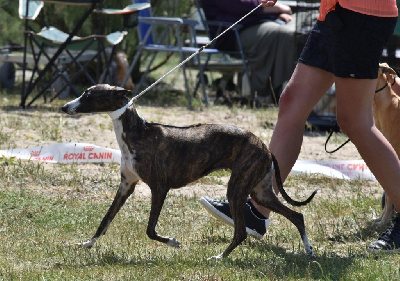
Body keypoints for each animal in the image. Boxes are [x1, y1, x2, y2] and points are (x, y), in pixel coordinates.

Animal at [61, 83, 318, 258]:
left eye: (88, 95)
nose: (64, 106)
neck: (137, 132)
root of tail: (265, 146)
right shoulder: (126, 185)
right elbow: (105, 220)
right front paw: (88, 244)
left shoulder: (159, 188)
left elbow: (150, 230)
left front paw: (173, 242)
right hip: (260, 191)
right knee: (297, 216)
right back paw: (308, 249)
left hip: (237, 189)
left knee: (241, 232)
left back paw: (220, 257)